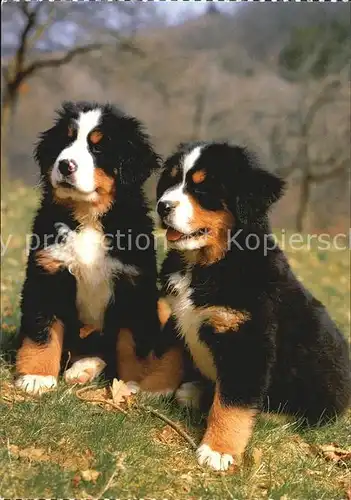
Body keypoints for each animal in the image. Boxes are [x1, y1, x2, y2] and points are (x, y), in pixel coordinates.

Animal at [15, 101, 183, 396]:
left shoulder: (133, 284)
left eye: (98, 148)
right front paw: (37, 376)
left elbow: (132, 343)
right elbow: (42, 329)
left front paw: (132, 383)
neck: (89, 215)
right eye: (65, 140)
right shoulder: (47, 271)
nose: (65, 165)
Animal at [157, 143, 351, 470]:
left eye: (202, 189)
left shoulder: (247, 341)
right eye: (170, 181)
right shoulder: (174, 315)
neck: (206, 266)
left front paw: (218, 450)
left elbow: (232, 404)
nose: (162, 206)